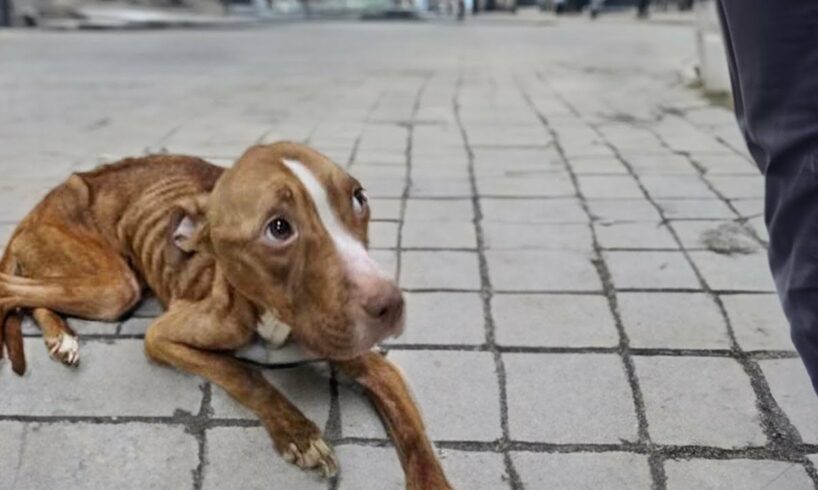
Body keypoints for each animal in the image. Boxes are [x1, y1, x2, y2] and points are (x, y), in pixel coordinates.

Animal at [0, 140, 452, 488]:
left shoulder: (379, 368)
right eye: (278, 228)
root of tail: (53, 193)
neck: (277, 324)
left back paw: (61, 338)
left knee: (34, 293)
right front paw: (299, 433)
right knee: (11, 288)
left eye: (359, 197)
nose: (391, 305)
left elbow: (417, 440)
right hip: (113, 286)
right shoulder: (162, 337)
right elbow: (244, 374)